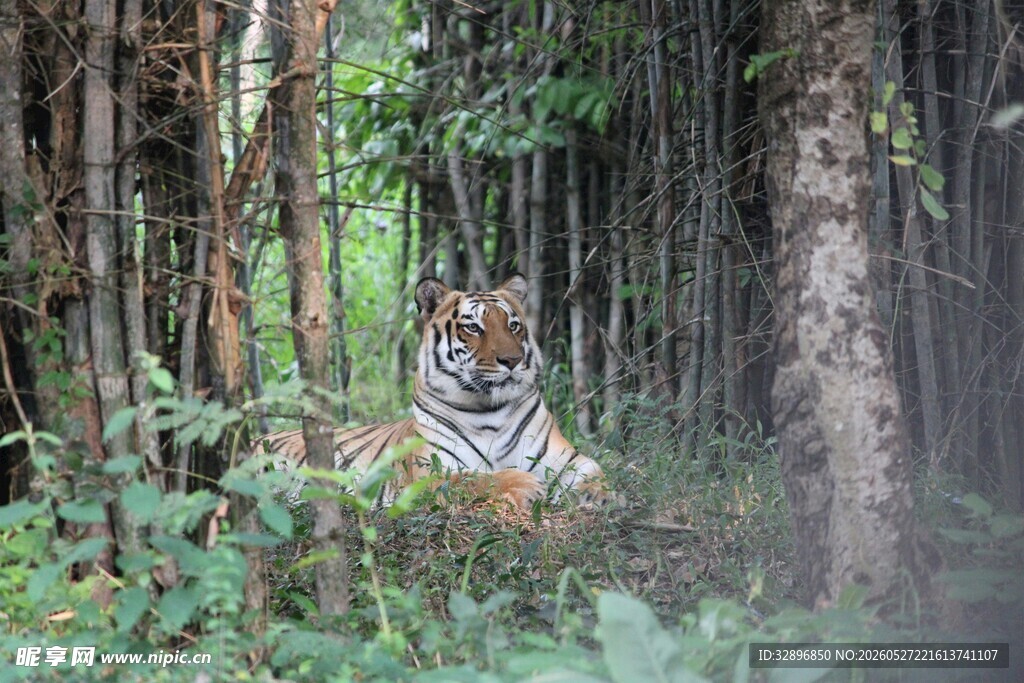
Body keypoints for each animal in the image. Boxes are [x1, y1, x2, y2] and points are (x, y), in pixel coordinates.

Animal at [258, 273, 607, 509]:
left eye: (513, 326)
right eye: (474, 327)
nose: (512, 360)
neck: (489, 410)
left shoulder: (564, 456)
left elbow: (593, 470)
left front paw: (598, 495)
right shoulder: (431, 474)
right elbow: (476, 477)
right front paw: (525, 483)